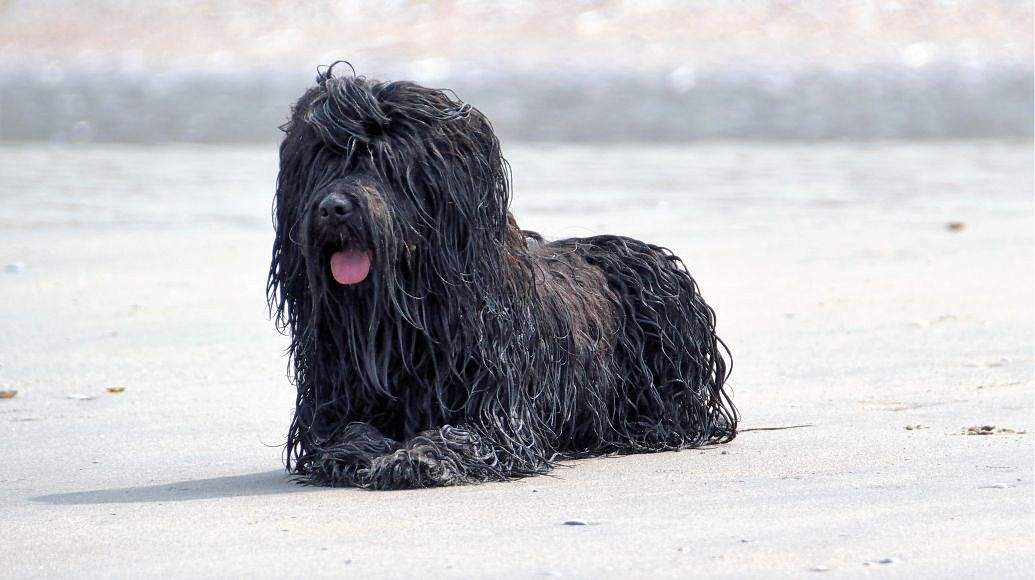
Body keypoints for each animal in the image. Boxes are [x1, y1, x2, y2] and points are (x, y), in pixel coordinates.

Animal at [268, 63, 738, 489]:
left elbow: (467, 436)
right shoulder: (330, 401)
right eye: (322, 160)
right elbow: (341, 435)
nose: (333, 208)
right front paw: (364, 452)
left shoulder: (501, 408)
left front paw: (417, 457)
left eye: (388, 164)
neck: (401, 320)